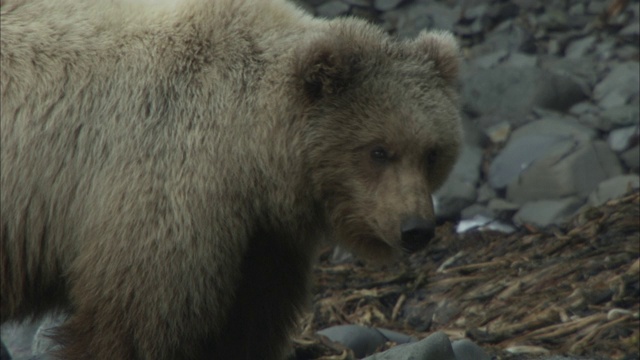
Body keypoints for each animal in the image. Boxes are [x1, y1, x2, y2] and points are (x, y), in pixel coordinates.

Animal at [0, 0, 460, 358]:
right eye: (378, 150)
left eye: (432, 152)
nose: (416, 228)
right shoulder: (166, 181)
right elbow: (135, 322)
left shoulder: (260, 238)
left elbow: (249, 322)